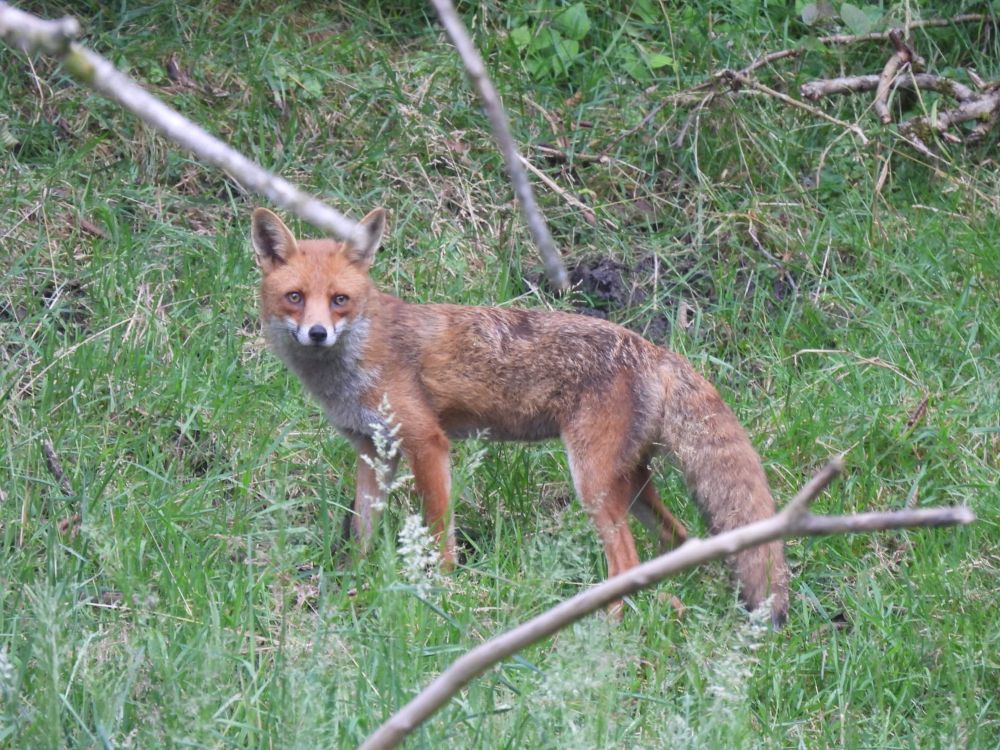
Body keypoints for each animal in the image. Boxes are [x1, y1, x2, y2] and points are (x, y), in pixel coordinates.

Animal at [251, 207, 790, 626]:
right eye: (295, 297)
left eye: (339, 300)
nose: (317, 333)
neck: (353, 364)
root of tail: (654, 349)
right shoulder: (372, 451)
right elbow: (362, 531)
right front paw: (353, 583)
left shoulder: (428, 442)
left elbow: (440, 532)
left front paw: (443, 594)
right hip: (631, 485)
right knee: (678, 541)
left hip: (592, 483)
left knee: (625, 561)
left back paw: (606, 630)